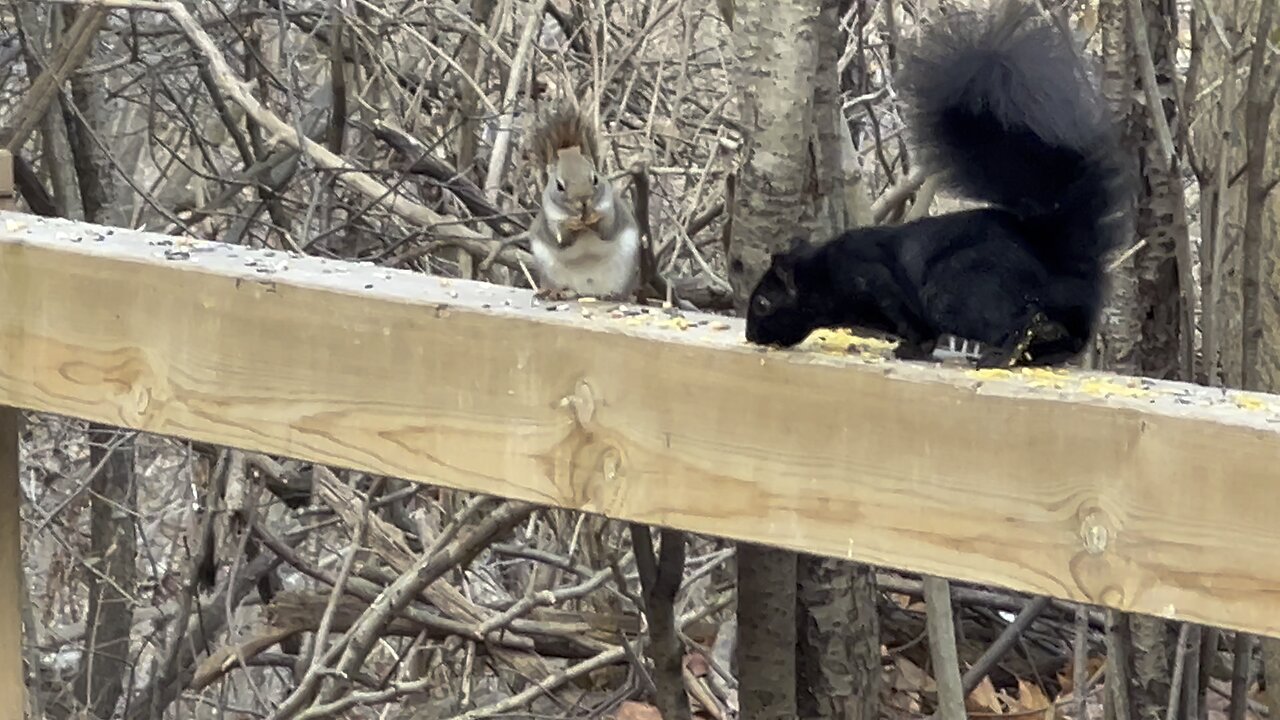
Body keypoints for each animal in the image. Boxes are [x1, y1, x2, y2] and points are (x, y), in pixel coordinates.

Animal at [747, 0, 1126, 366]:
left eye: (764, 303)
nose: (751, 335)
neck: (823, 273)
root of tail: (1054, 249)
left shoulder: (875, 278)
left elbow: (912, 323)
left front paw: (911, 349)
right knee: (1073, 337)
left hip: (959, 287)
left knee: (1020, 319)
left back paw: (1002, 355)